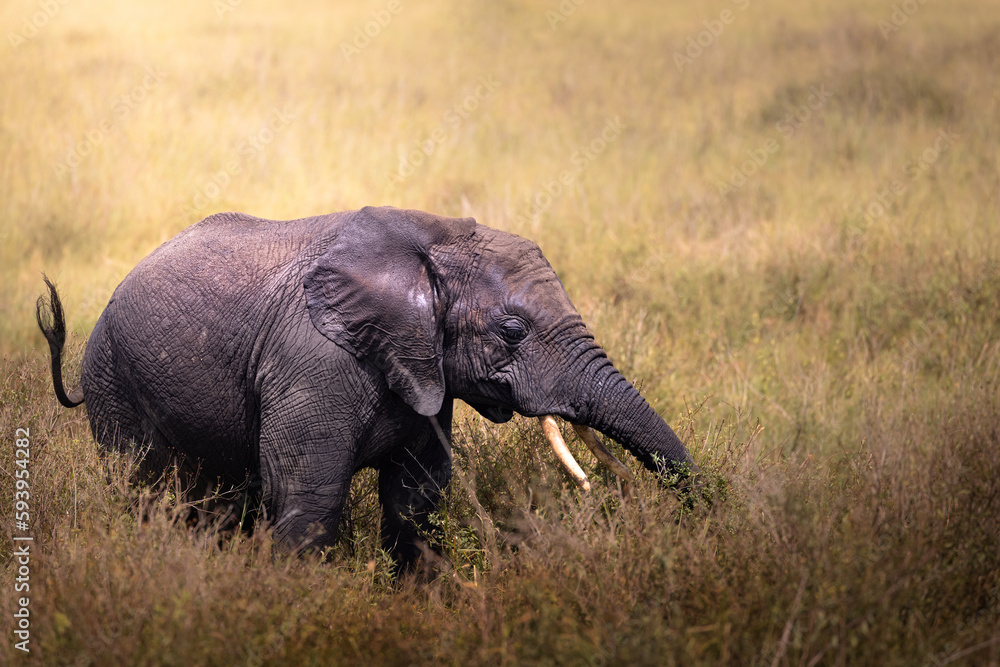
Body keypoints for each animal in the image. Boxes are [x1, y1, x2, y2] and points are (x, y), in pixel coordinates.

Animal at [37, 206, 696, 570]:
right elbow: (310, 497)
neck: (431, 236)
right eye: (513, 331)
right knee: (146, 490)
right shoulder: (312, 363)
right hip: (113, 380)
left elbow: (416, 499)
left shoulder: (423, 374)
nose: (693, 520)